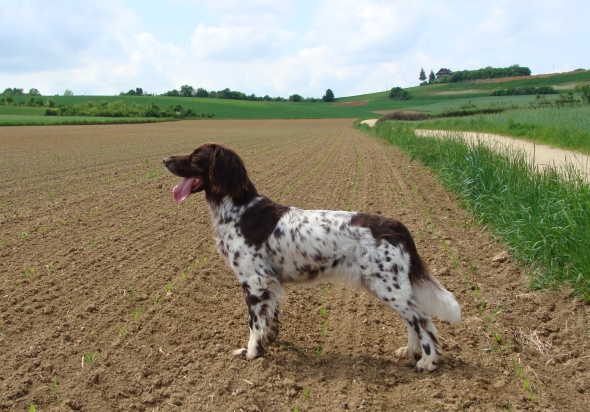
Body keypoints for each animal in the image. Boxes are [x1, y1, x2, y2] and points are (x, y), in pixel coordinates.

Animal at [163, 143, 462, 372]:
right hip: (390, 286)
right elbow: (271, 318)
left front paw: (252, 353)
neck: (240, 210)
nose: (164, 159)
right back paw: (409, 352)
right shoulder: (271, 283)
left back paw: (428, 361)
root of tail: (395, 225)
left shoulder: (254, 281)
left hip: (389, 286)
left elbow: (254, 323)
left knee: (423, 320)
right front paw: (269, 340)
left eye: (196, 157)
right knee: (413, 320)